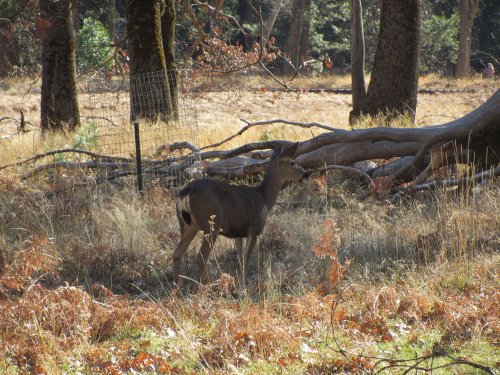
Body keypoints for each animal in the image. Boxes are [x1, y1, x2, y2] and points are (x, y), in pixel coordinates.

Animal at [172, 142, 304, 286]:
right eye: (292, 163)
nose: (305, 173)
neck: (264, 198)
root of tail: (186, 192)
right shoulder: (255, 228)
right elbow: (247, 257)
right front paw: (245, 285)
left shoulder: (238, 232)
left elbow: (240, 257)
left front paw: (241, 282)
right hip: (211, 224)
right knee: (201, 257)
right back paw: (210, 286)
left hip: (187, 225)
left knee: (177, 254)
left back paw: (176, 286)